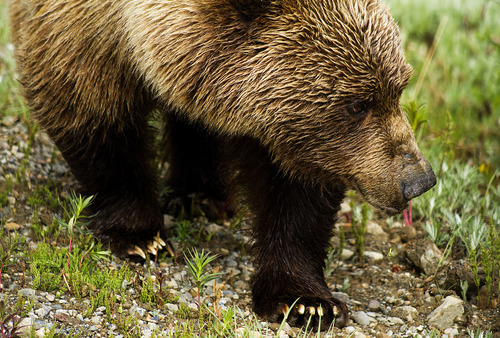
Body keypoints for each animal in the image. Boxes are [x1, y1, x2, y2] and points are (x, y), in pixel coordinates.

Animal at [9, 0, 436, 328]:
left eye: (399, 87)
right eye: (357, 104)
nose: (419, 180)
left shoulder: (284, 128)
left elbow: (295, 191)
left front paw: (306, 302)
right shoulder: (79, 33)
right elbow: (91, 113)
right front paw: (140, 237)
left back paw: (201, 194)